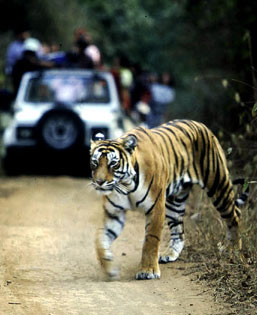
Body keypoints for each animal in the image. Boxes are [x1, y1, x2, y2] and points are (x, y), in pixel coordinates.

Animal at [90, 119, 248, 280]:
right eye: (95, 163)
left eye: (113, 164)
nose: (99, 182)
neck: (125, 184)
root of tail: (200, 124)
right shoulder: (114, 214)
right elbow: (100, 239)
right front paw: (110, 268)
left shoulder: (156, 207)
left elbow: (151, 240)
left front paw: (148, 271)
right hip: (175, 202)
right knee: (179, 230)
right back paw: (169, 254)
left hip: (218, 185)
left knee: (235, 214)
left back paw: (233, 248)